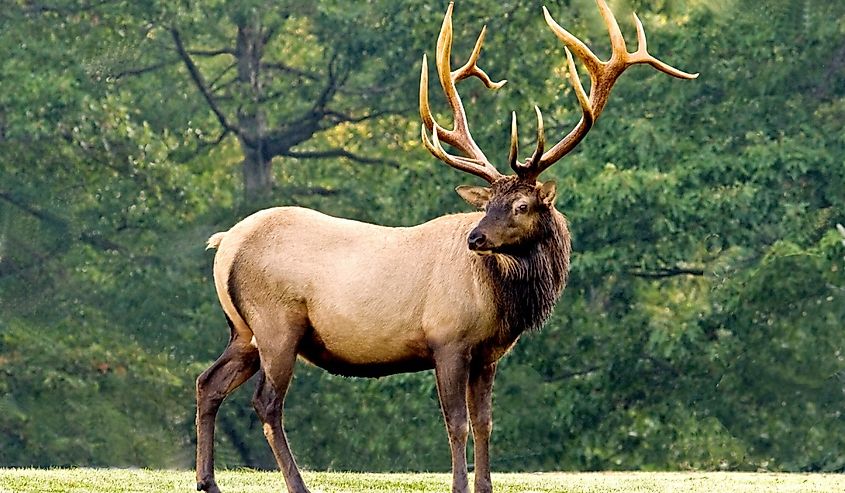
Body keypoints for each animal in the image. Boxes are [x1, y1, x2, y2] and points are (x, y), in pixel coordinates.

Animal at [195, 1, 696, 490]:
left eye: (519, 205)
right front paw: (459, 484)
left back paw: (208, 481)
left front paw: (485, 485)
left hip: (242, 330)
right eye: (488, 204)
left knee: (207, 382)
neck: (502, 301)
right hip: (277, 323)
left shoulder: (487, 354)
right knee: (266, 403)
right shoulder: (448, 340)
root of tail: (225, 244)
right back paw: (295, 483)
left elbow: (486, 423)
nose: (476, 238)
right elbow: (457, 423)